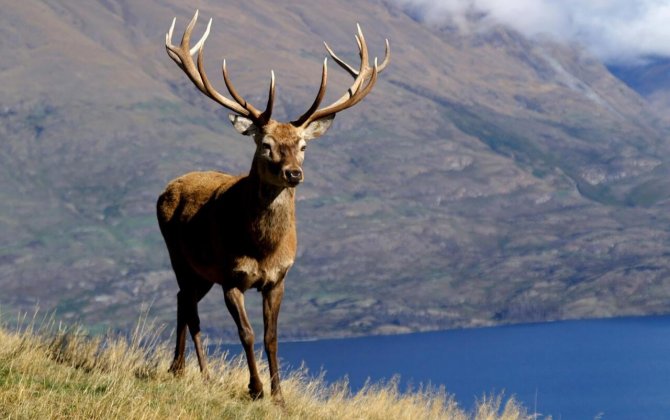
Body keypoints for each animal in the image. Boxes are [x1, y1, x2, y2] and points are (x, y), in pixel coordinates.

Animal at [157, 9, 388, 404]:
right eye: (265, 145)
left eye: (303, 145)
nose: (294, 173)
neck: (262, 248)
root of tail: (167, 188)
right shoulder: (230, 276)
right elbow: (247, 333)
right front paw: (255, 388)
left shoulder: (278, 279)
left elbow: (271, 337)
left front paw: (278, 395)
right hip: (180, 257)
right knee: (186, 303)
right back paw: (184, 370)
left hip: (202, 273)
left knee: (185, 302)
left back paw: (196, 372)